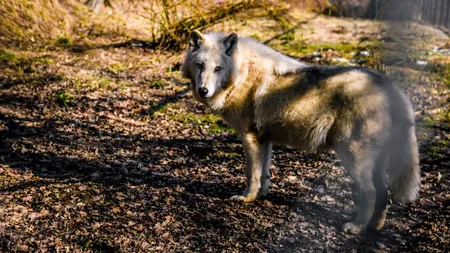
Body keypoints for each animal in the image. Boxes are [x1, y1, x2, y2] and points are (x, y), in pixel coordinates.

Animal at [181, 30, 420, 234]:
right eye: (200, 65)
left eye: (218, 68)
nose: (203, 90)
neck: (243, 73)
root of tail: (390, 86)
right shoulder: (265, 139)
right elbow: (265, 173)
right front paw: (262, 196)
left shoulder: (249, 137)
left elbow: (252, 175)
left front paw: (246, 198)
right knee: (383, 194)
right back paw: (374, 227)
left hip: (352, 157)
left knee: (370, 193)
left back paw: (356, 228)